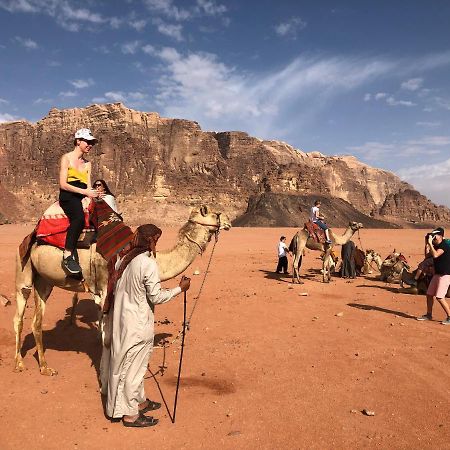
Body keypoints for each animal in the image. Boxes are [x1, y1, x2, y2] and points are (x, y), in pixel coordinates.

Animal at [13, 206, 232, 374]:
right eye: (215, 213)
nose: (229, 221)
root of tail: (31, 236)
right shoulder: (103, 291)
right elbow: (106, 337)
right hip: (23, 274)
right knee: (19, 317)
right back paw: (20, 363)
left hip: (44, 281)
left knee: (36, 322)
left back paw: (44, 367)